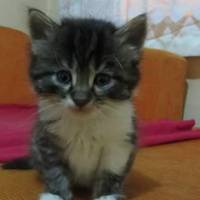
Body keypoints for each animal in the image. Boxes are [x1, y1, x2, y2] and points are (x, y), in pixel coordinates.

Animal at [3, 9, 147, 200]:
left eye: (102, 80)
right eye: (63, 77)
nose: (80, 99)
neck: (84, 123)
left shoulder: (120, 142)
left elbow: (111, 171)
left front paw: (106, 195)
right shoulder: (46, 139)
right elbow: (54, 171)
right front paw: (55, 194)